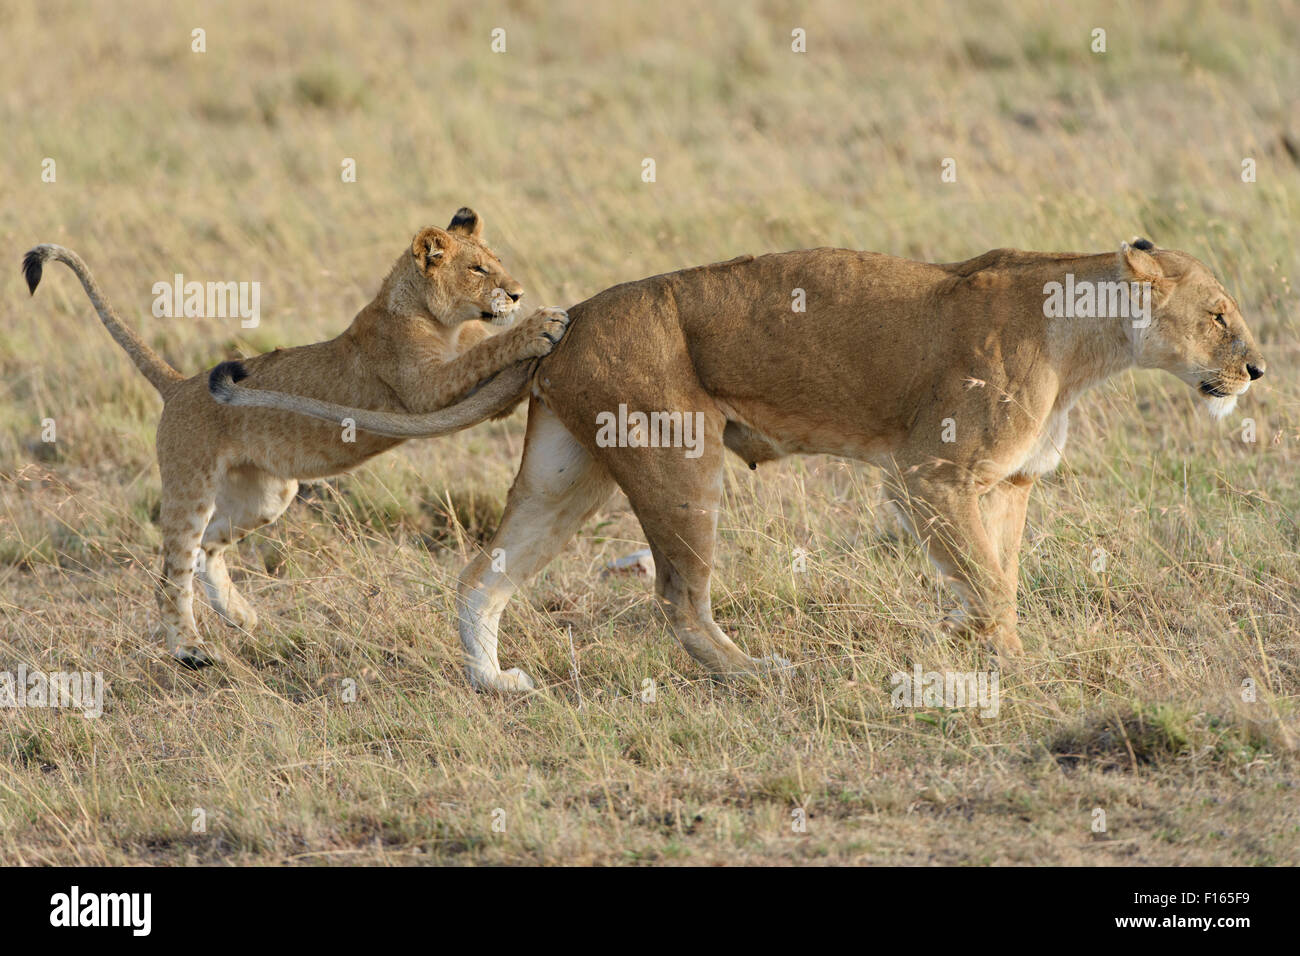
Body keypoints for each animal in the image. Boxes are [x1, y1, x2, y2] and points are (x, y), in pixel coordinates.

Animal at [23, 208, 569, 667]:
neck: (440, 320)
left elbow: (484, 351)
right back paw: (190, 650)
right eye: (477, 270)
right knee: (170, 574)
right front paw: (540, 324)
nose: (517, 293)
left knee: (206, 550)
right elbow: (486, 351)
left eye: (498, 263)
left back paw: (241, 615)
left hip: (266, 496)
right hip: (189, 485)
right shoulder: (423, 388)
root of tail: (179, 383)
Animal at [208, 238, 1266, 691]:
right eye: (1219, 313)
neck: (1087, 340)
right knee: (678, 597)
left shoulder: (1004, 485)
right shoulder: (931, 473)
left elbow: (993, 574)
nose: (1256, 368)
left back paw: (494, 682)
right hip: (680, 455)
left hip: (569, 470)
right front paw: (1006, 665)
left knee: (481, 574)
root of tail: (568, 318)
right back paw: (758, 673)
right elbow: (992, 583)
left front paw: (978, 648)